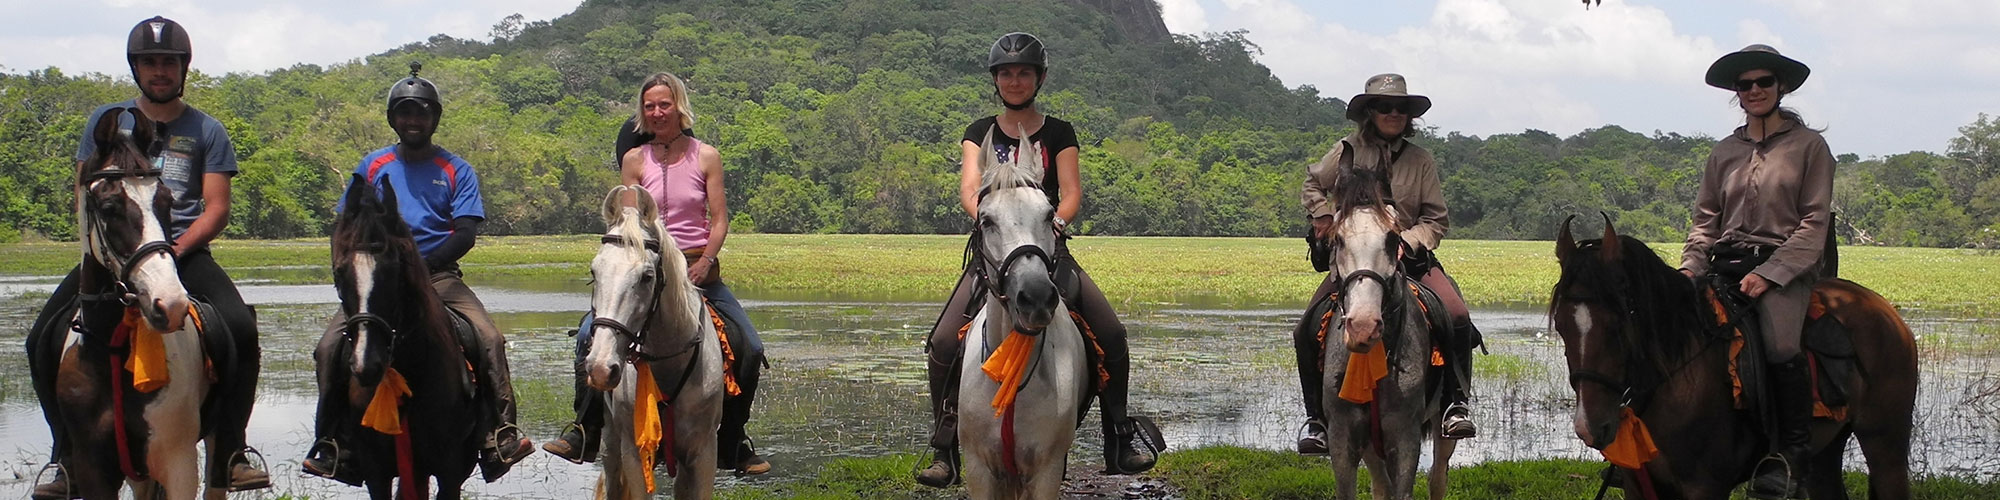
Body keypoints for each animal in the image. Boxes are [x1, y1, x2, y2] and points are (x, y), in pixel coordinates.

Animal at [584, 187, 724, 500]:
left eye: (647, 276)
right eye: (594, 272)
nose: (601, 368)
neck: (669, 363)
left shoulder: (703, 453)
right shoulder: (634, 454)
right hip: (611, 445)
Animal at [1328, 169, 1456, 500]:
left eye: (1392, 237)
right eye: (1338, 238)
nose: (1363, 326)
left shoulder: (1405, 436)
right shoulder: (1342, 437)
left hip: (1442, 429)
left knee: (1438, 478)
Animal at [1544, 219, 1920, 500]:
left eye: (1619, 323)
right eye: (1561, 325)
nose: (1590, 427)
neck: (1677, 384)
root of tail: (1885, 312)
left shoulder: (1706, 489)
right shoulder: (1640, 488)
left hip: (1885, 445)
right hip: (1826, 452)